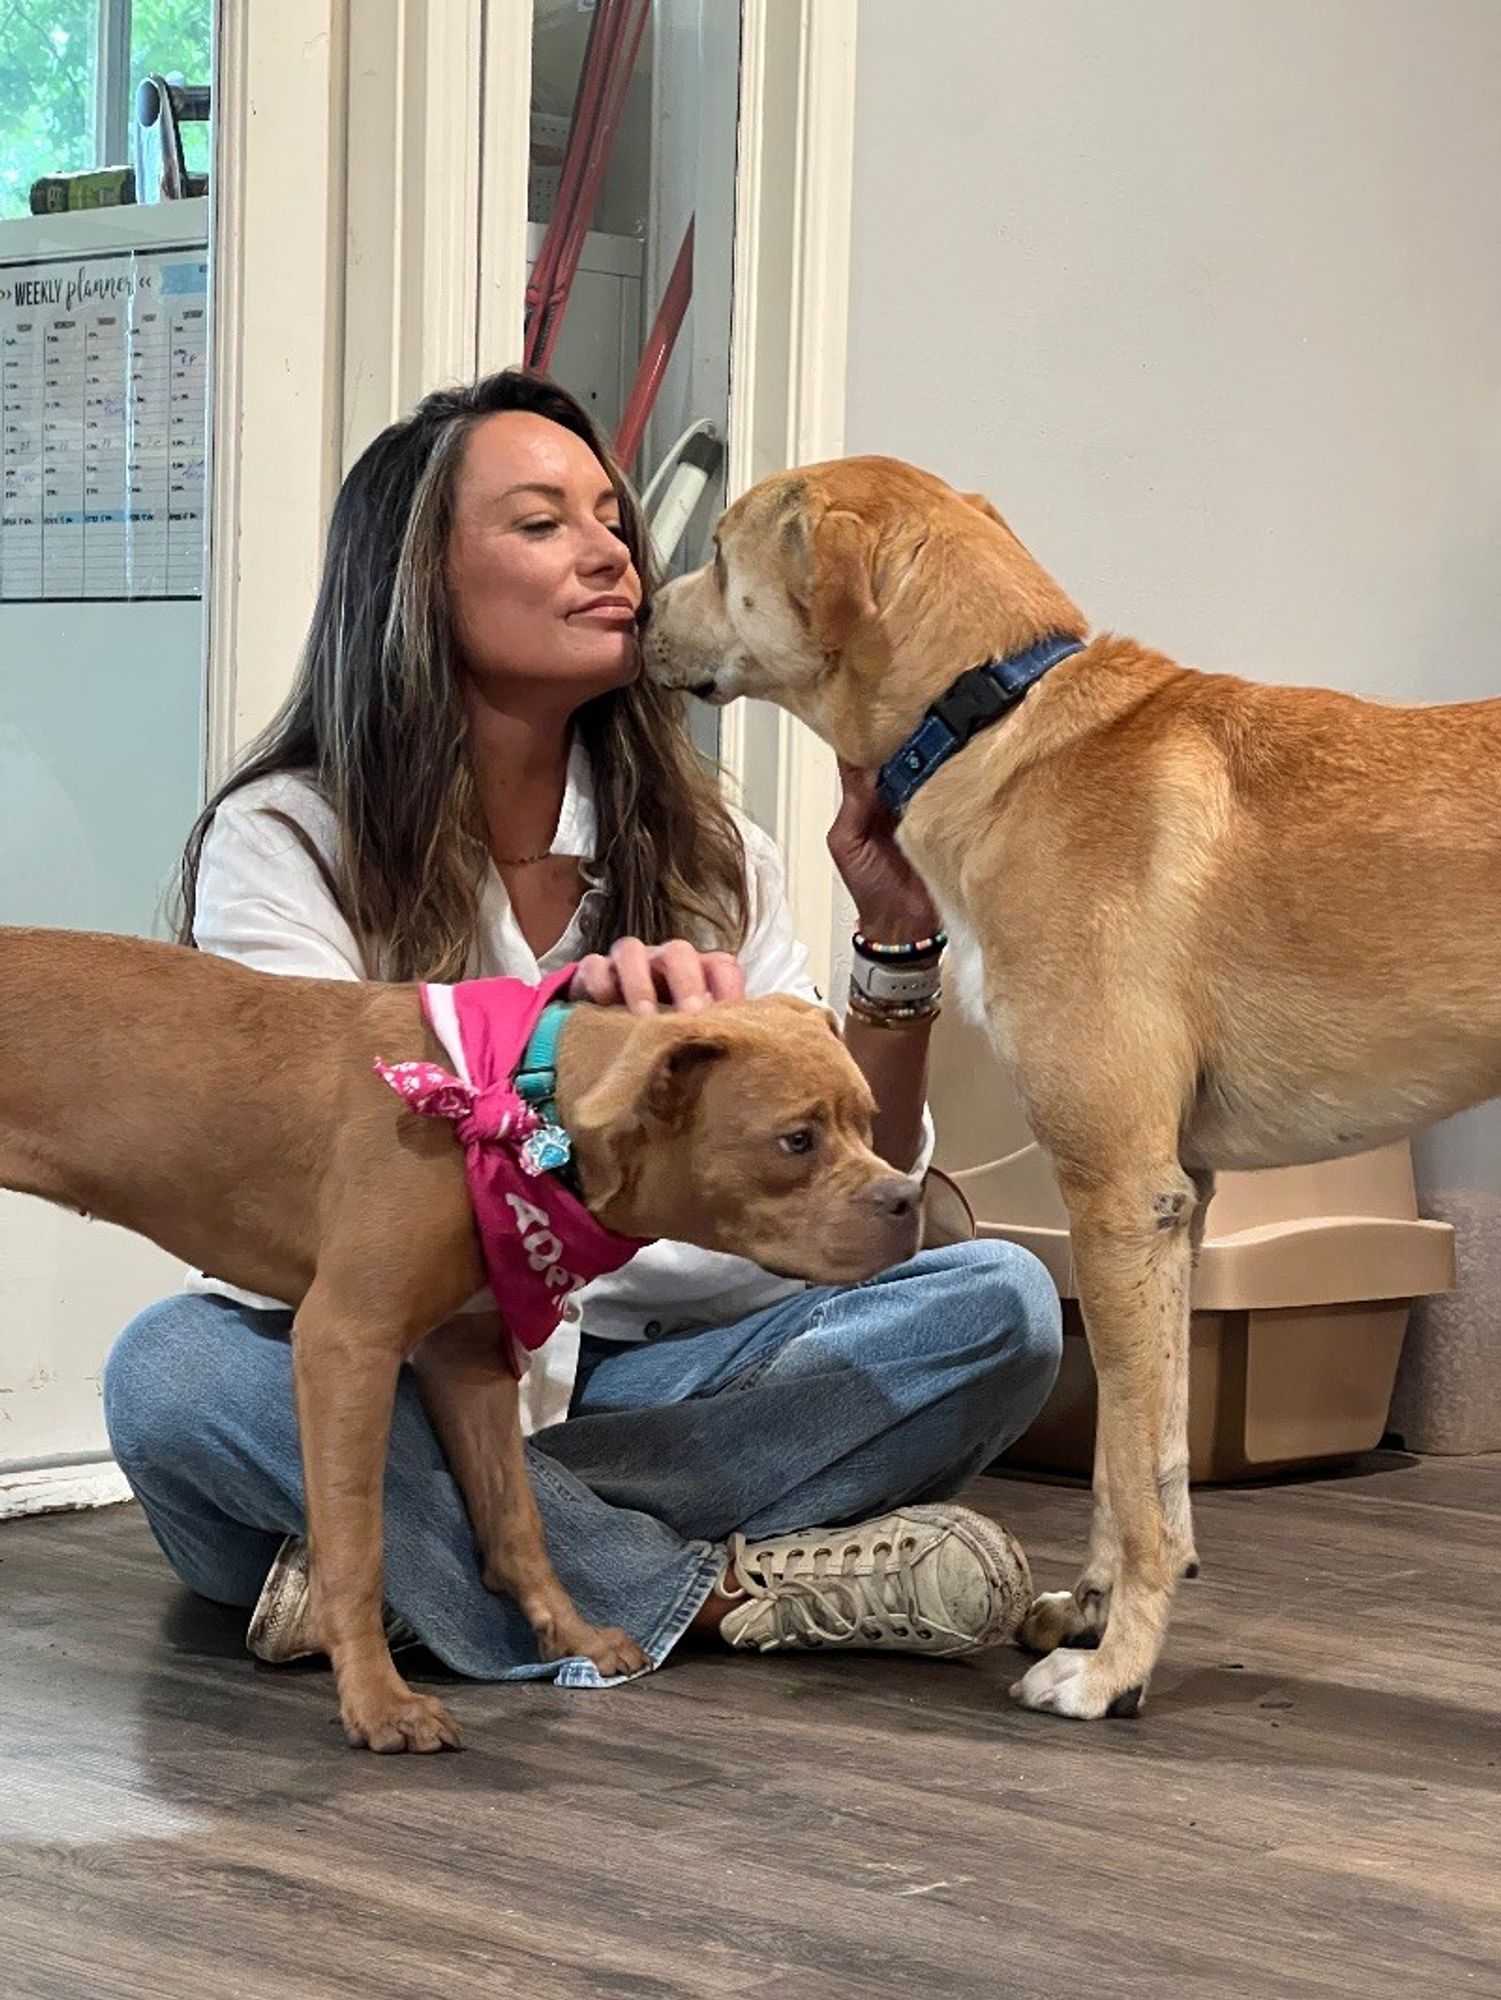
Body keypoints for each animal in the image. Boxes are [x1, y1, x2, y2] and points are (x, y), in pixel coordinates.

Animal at [0, 924, 924, 1752]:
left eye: (869, 1122)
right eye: (795, 1141)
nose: (907, 1201)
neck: (523, 1105)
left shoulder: (468, 1356)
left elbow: (516, 1519)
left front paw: (574, 1638)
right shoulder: (348, 1340)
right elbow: (357, 1538)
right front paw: (377, 1703)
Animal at [648, 458, 1501, 1720]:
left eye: (715, 549)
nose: (638, 610)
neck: (992, 717)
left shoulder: (1116, 1193)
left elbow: (1137, 1484)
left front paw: (1110, 1670)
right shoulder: (1171, 1201)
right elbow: (1139, 1461)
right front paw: (1093, 1613)